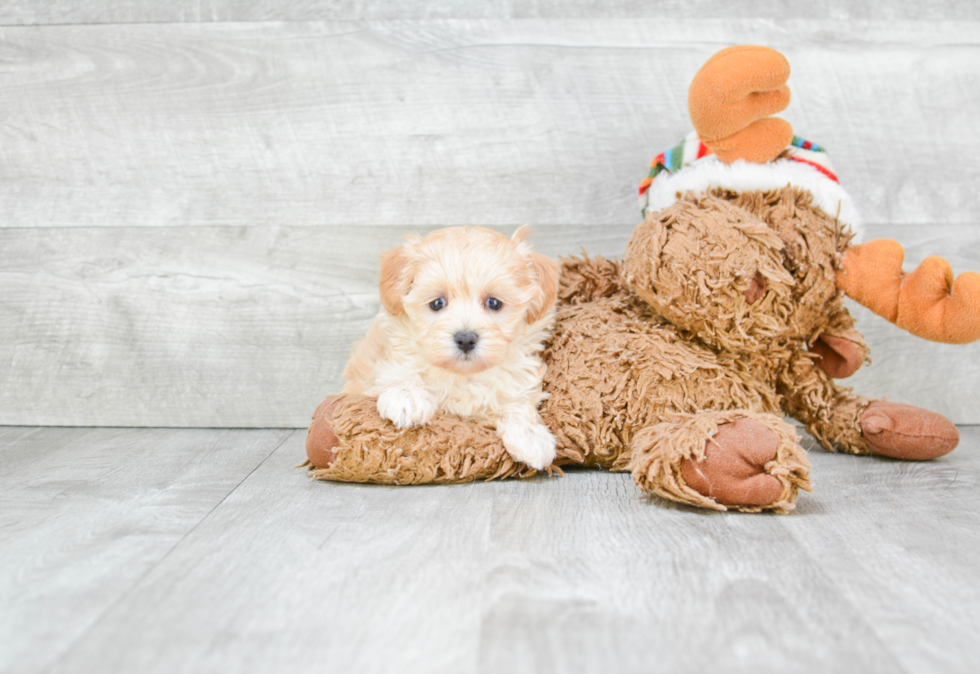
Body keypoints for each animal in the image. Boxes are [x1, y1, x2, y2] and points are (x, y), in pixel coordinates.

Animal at [342, 226, 560, 468]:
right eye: (437, 303)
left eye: (494, 303)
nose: (465, 339)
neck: (462, 377)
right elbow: (398, 371)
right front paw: (407, 398)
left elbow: (517, 403)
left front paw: (530, 436)